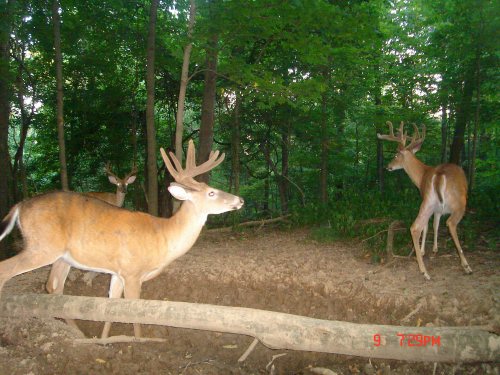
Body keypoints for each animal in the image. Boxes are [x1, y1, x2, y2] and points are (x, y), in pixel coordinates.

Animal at [0, 140, 244, 338]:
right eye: (212, 192)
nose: (240, 200)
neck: (163, 237)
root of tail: (19, 206)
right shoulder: (132, 271)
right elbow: (133, 311)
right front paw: (138, 342)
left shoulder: (118, 273)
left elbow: (112, 306)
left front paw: (103, 340)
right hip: (42, 246)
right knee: (7, 270)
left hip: (62, 257)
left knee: (54, 287)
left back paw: (77, 333)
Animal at [378, 122, 472, 280]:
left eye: (396, 155)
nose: (387, 166)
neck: (421, 177)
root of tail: (439, 174)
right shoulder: (435, 207)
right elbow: (432, 225)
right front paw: (429, 250)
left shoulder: (434, 206)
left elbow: (433, 225)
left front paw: (431, 249)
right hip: (457, 203)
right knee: (449, 223)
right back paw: (465, 265)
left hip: (429, 202)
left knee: (415, 227)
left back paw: (424, 270)